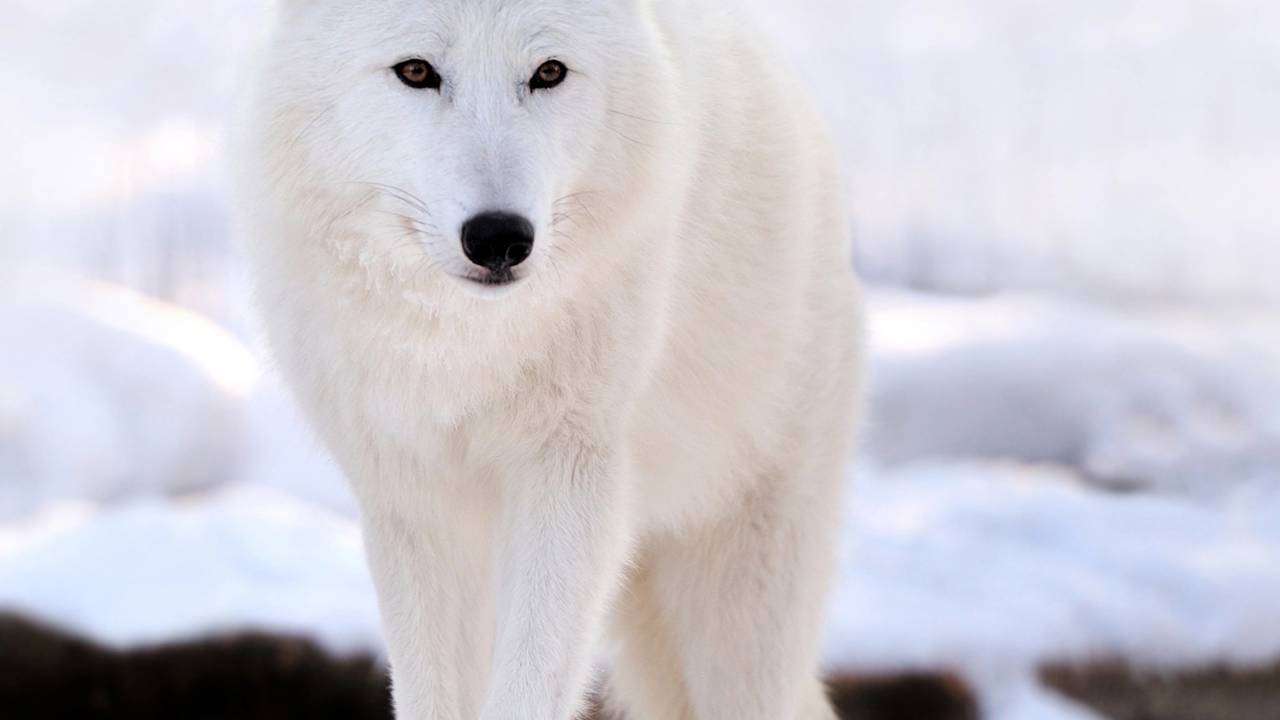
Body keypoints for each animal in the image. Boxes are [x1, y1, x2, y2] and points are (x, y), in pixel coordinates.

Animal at [234, 0, 863, 718]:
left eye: (548, 72)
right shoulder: (414, 504)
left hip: (741, 609)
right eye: (416, 71)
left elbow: (529, 684)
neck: (467, 351)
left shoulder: (568, 479)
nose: (499, 237)